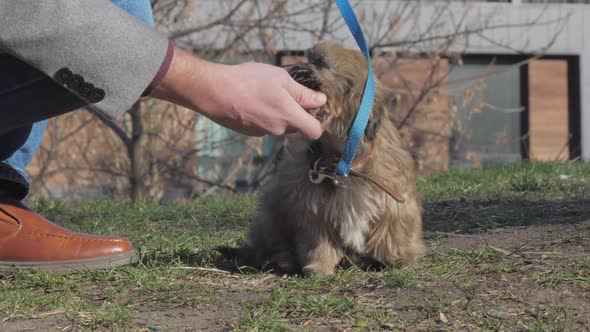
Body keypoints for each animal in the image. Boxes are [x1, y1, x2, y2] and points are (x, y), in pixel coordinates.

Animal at [222, 42, 426, 274]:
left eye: (319, 62)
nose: (291, 68)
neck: (343, 159)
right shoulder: (313, 210)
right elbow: (319, 240)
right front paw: (319, 266)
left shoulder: (393, 200)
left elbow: (391, 230)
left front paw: (397, 259)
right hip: (271, 215)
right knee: (270, 246)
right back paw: (284, 260)